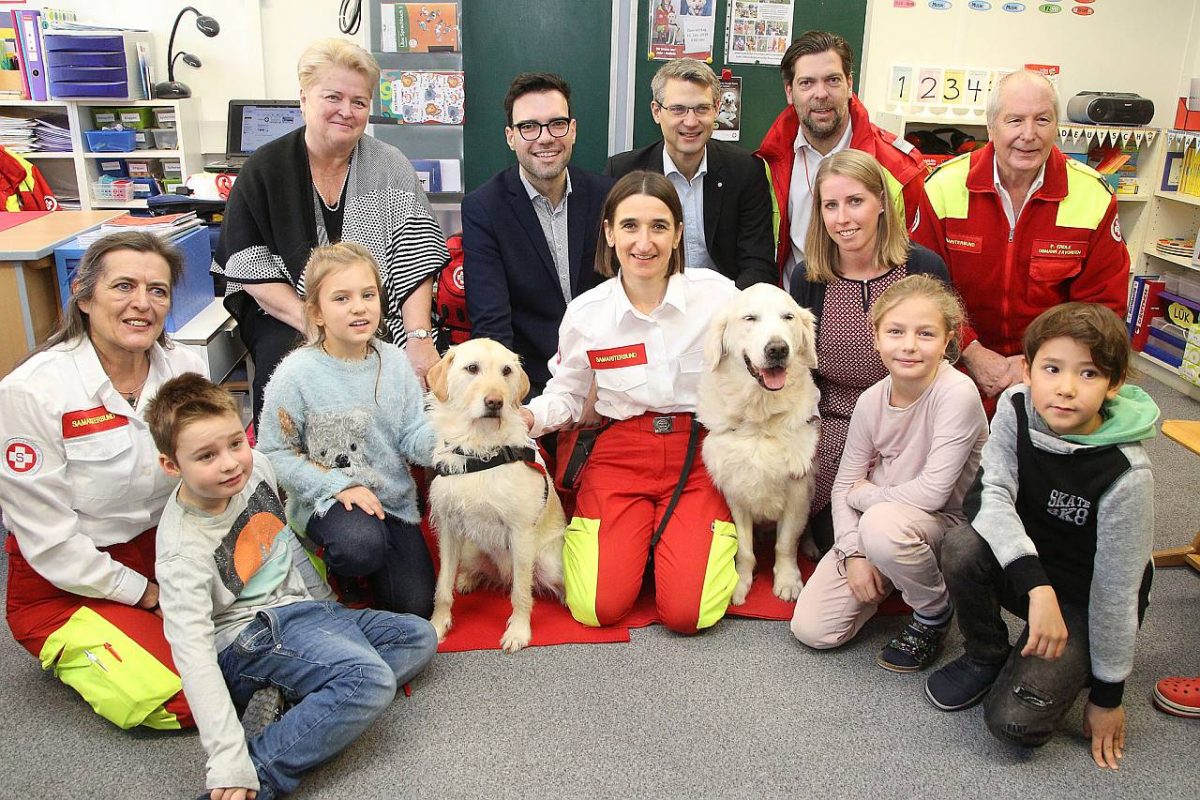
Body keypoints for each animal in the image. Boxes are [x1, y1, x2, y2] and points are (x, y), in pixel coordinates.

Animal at [427, 335, 566, 652]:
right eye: (472, 368)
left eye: (506, 371)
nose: (495, 402)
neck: (480, 449)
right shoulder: (448, 529)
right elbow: (442, 587)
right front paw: (437, 626)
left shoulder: (520, 533)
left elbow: (522, 594)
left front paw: (518, 631)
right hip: (469, 550)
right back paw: (467, 579)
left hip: (547, 561)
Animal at [700, 284, 820, 604]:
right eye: (750, 318)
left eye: (788, 317)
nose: (777, 349)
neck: (760, 420)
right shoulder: (736, 491)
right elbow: (745, 548)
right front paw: (740, 582)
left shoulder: (797, 490)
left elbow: (786, 543)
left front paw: (788, 580)